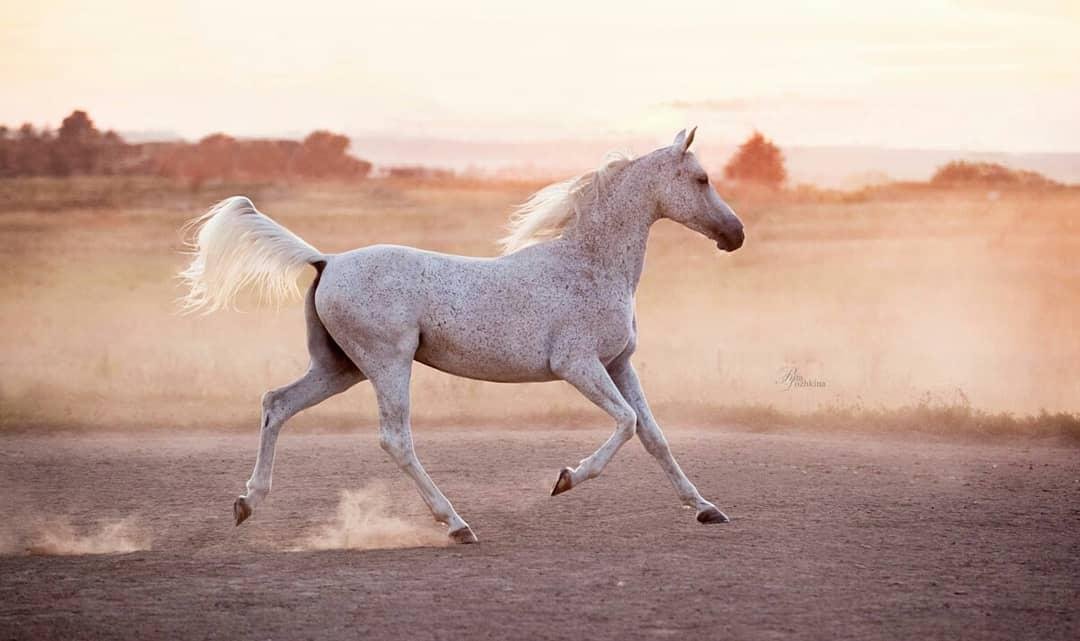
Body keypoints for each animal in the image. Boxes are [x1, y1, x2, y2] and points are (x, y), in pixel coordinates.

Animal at [179, 128, 745, 544]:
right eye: (700, 178)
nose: (735, 235)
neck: (590, 265)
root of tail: (327, 260)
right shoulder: (577, 366)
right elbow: (626, 424)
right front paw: (565, 479)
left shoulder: (618, 364)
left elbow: (653, 435)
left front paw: (706, 508)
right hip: (387, 364)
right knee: (395, 438)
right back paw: (456, 524)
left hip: (340, 368)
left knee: (276, 404)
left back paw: (247, 502)